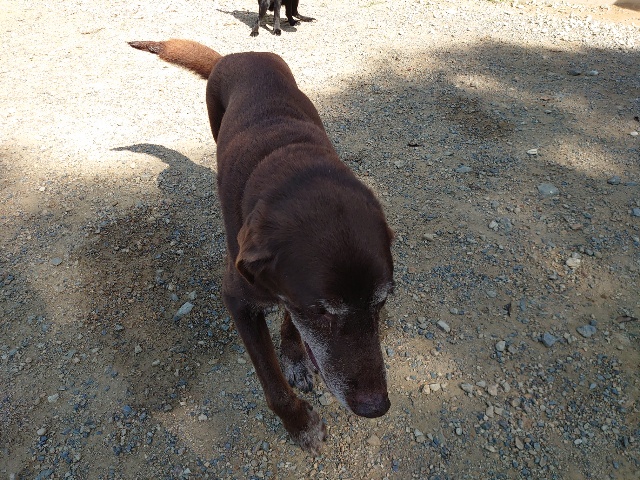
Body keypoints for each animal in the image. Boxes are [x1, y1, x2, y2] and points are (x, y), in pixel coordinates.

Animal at [128, 39, 394, 454]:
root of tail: (235, 55)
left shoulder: (287, 289)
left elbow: (289, 323)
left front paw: (294, 356)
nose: (375, 407)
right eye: (322, 312)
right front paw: (300, 424)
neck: (299, 173)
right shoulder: (240, 299)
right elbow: (273, 384)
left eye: (381, 302)